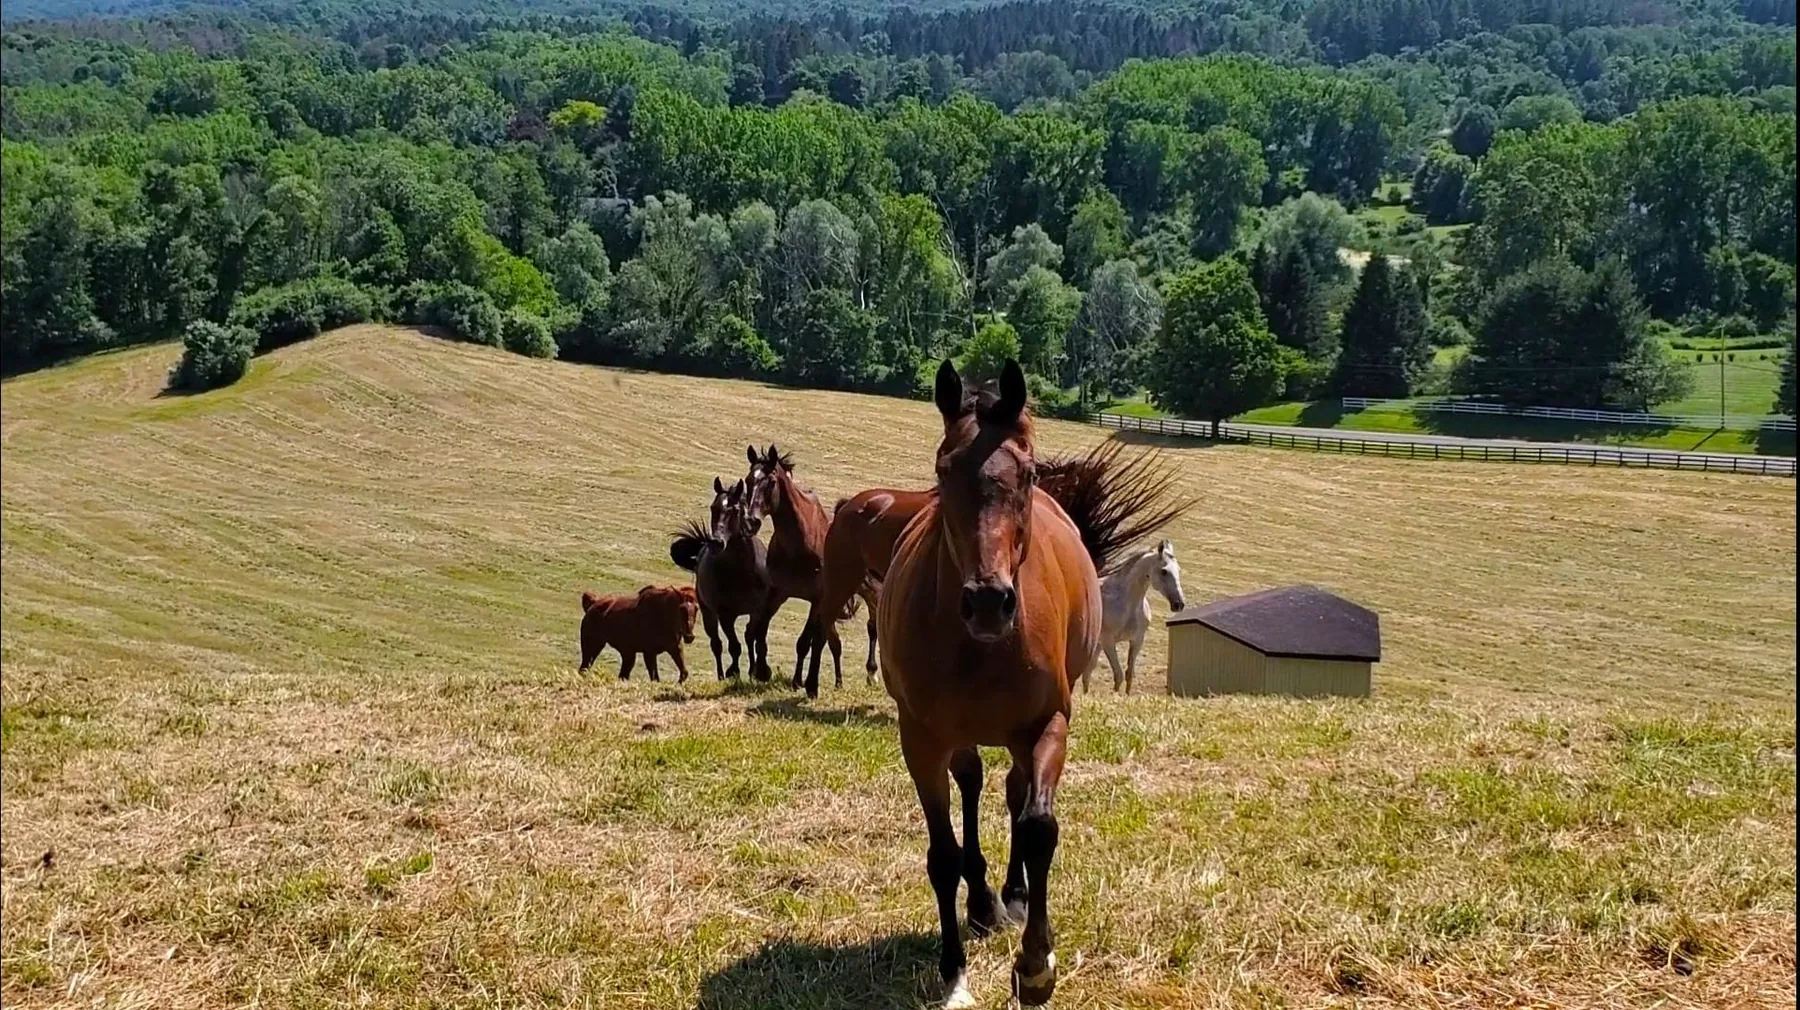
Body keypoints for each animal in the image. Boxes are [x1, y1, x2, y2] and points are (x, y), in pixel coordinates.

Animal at [670, 477, 772, 681]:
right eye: (713, 508)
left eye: (735, 510)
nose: (716, 543)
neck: (741, 572)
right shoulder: (725, 614)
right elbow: (734, 646)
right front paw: (733, 672)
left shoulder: (757, 609)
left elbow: (751, 637)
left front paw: (755, 671)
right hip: (708, 612)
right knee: (716, 644)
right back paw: (721, 675)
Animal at [741, 445, 871, 691]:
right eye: (748, 480)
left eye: (771, 482)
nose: (750, 522)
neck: (799, 543)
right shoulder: (778, 592)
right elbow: (760, 629)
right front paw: (763, 671)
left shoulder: (817, 599)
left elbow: (805, 641)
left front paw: (807, 683)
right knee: (833, 641)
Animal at [879, 359, 1170, 1008]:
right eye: (942, 469)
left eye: (1029, 473)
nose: (989, 602)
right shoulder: (922, 739)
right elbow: (943, 855)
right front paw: (953, 968)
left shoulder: (1047, 725)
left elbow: (1038, 828)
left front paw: (1036, 962)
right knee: (973, 784)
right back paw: (984, 904)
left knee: (1015, 794)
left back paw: (1011, 897)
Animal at [1088, 540, 1187, 694]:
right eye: (1164, 571)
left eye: (1178, 570)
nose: (1179, 604)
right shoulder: (1108, 641)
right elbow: (1118, 675)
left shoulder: (1137, 640)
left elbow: (1129, 675)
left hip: (1096, 645)